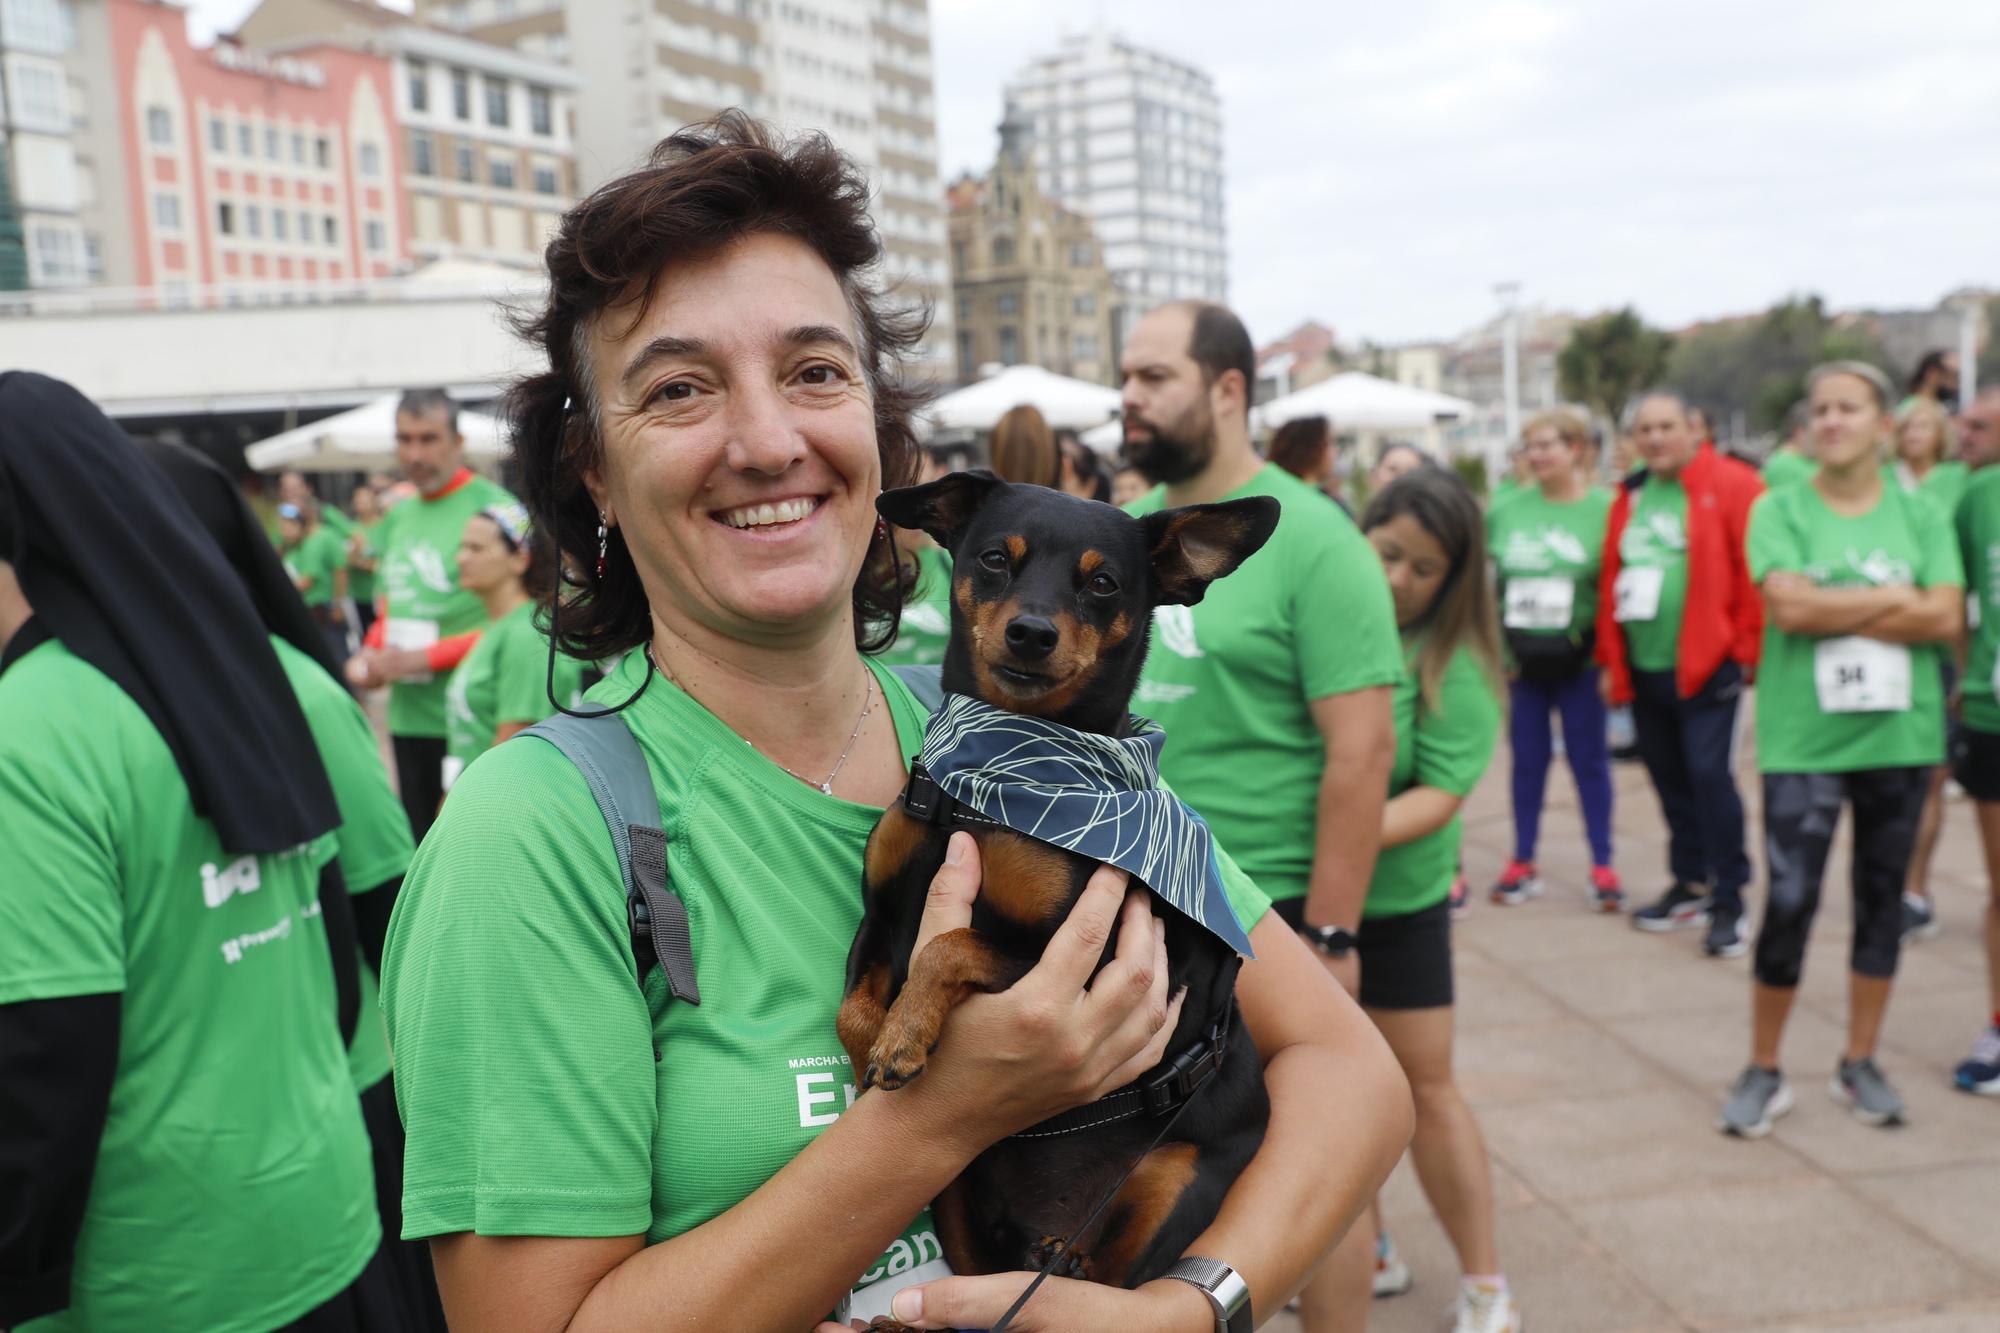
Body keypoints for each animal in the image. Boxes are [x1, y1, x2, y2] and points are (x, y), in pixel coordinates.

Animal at [832, 470, 1272, 1320]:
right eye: (995, 559)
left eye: (1103, 584)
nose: (1032, 632)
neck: (993, 776)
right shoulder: (882, 913)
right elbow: (854, 1005)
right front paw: (880, 1044)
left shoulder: (1083, 954)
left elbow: (950, 942)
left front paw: (903, 1038)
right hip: (956, 1188)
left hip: (1172, 1181)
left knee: (1100, 1280)